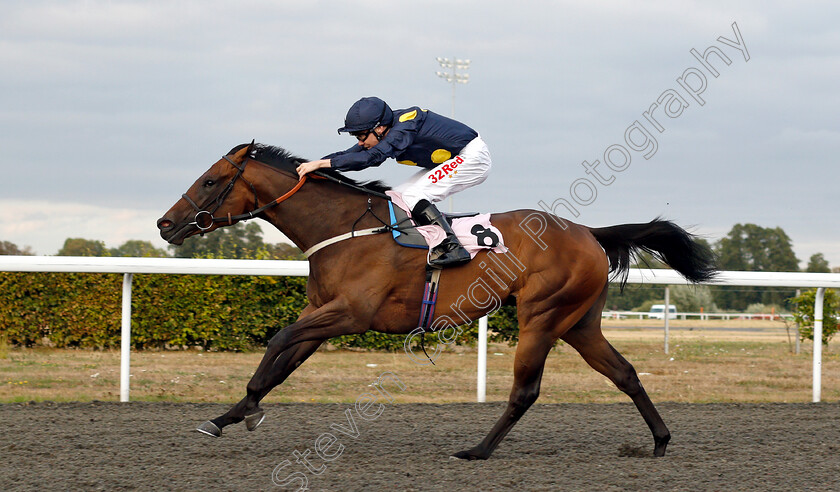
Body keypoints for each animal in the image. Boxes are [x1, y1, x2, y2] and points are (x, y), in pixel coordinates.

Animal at [156, 142, 716, 462]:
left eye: (210, 180)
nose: (164, 223)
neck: (342, 229)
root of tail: (589, 233)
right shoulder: (320, 313)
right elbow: (281, 363)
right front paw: (230, 415)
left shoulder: (348, 314)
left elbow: (277, 342)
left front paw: (247, 409)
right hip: (579, 322)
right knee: (625, 373)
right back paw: (659, 442)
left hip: (542, 316)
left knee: (526, 391)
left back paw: (478, 451)